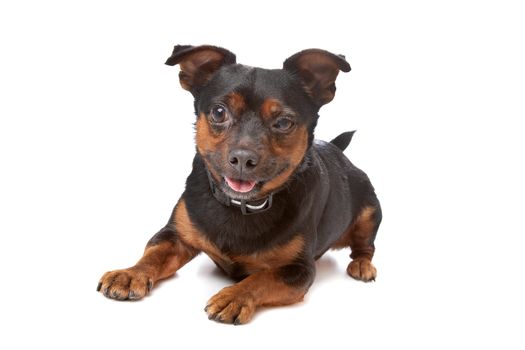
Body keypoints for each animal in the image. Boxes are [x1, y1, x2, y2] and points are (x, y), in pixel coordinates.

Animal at [97, 44, 380, 326]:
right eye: (219, 112)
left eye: (283, 122)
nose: (243, 158)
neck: (241, 205)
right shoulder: (174, 235)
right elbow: (153, 253)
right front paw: (131, 273)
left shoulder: (298, 269)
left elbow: (261, 278)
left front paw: (235, 296)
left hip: (370, 213)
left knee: (366, 247)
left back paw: (362, 265)